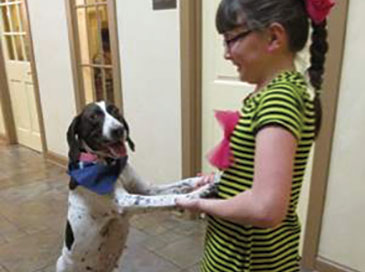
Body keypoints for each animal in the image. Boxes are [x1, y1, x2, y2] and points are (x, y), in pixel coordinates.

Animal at [55, 101, 218, 270]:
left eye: (116, 111)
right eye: (93, 117)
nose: (119, 129)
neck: (111, 165)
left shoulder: (148, 189)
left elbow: (180, 184)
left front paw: (205, 180)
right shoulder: (124, 202)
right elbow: (170, 198)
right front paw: (204, 191)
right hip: (61, 263)